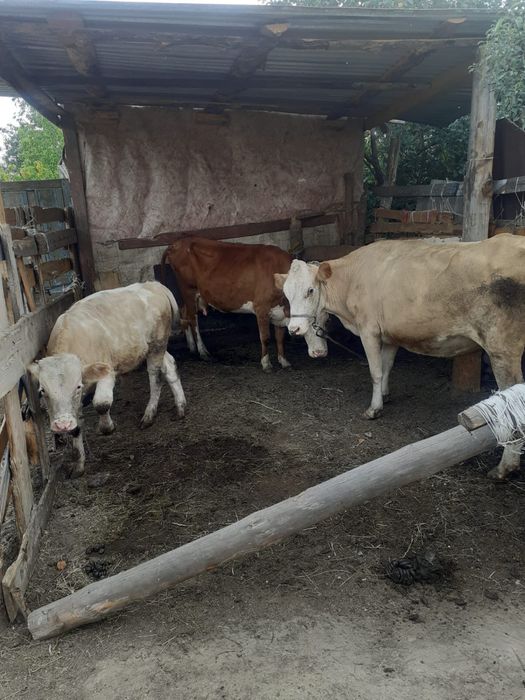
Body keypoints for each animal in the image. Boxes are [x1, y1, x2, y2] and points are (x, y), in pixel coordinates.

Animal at [29, 282, 187, 477]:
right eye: (42, 391)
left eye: (77, 386)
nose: (62, 424)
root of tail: (153, 284)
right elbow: (76, 428)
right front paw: (79, 465)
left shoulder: (107, 372)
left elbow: (101, 404)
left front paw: (107, 428)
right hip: (154, 348)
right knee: (170, 366)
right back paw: (180, 407)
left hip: (158, 343)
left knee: (155, 375)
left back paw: (149, 415)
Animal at [161, 238, 328, 371]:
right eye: (312, 322)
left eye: (326, 320)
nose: (321, 353)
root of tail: (177, 243)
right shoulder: (261, 308)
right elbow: (265, 337)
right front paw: (266, 363)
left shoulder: (280, 311)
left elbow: (280, 337)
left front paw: (284, 361)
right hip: (188, 290)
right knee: (193, 320)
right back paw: (202, 351)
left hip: (190, 295)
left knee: (185, 314)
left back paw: (191, 346)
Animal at [275, 234, 525, 480]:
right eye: (286, 294)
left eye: (310, 290)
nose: (294, 329)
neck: (351, 279)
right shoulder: (389, 335)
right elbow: (387, 366)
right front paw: (385, 395)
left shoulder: (369, 330)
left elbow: (375, 371)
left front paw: (374, 409)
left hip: (502, 350)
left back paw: (505, 467)